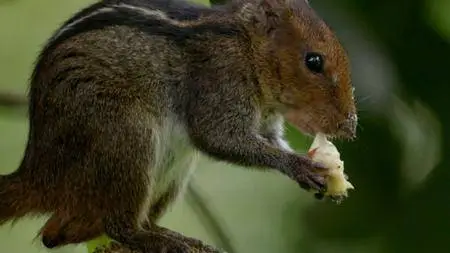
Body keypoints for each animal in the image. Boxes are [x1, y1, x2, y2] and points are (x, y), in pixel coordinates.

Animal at [0, 0, 358, 252]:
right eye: (314, 61)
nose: (350, 127)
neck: (247, 48)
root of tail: (40, 175)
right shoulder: (219, 81)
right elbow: (218, 137)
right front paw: (298, 165)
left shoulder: (267, 122)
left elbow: (269, 140)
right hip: (126, 138)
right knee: (118, 226)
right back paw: (161, 240)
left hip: (172, 169)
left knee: (56, 234)